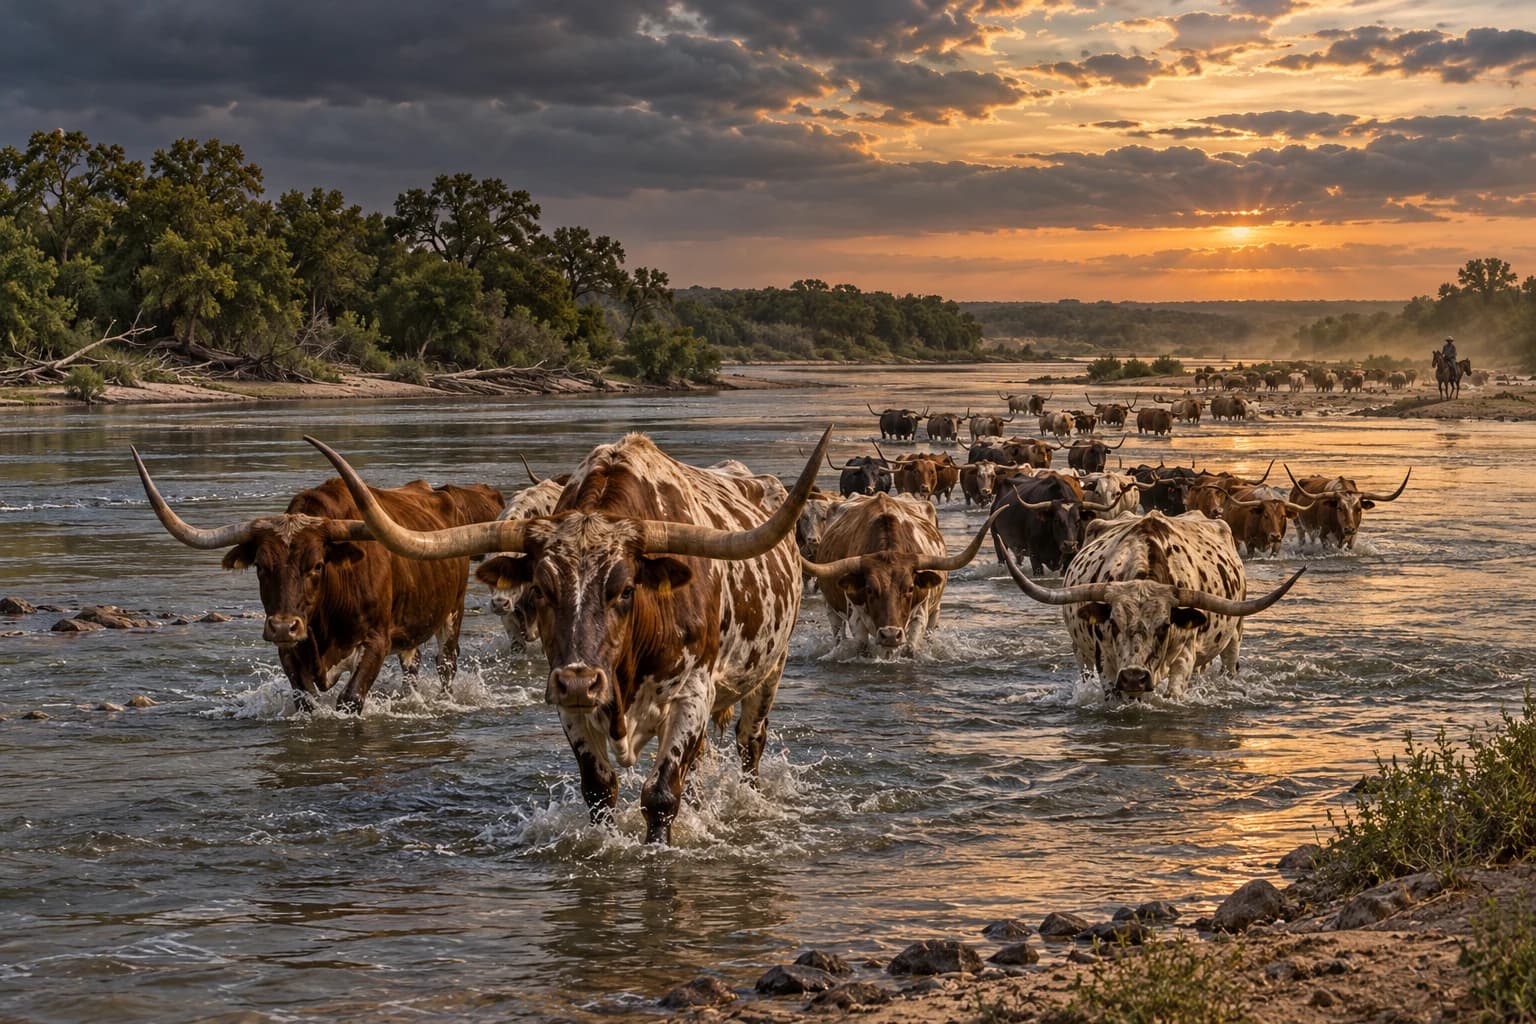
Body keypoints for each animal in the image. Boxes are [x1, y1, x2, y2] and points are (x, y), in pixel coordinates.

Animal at [132, 449, 504, 713]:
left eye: (317, 565)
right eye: (261, 566)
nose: (284, 626)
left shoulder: (377, 640)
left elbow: (350, 699)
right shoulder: (289, 652)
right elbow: (306, 700)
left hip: (452, 613)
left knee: (446, 664)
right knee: (411, 667)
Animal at [306, 430, 831, 844]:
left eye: (625, 589)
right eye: (541, 588)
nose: (581, 681)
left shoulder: (691, 694)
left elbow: (662, 794)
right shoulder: (569, 706)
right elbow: (599, 790)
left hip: (770, 671)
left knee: (749, 744)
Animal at [801, 493, 998, 656]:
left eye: (910, 588)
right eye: (869, 589)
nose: (890, 634)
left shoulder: (920, 612)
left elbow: (909, 648)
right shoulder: (854, 615)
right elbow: (862, 647)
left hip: (935, 610)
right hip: (830, 608)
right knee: (838, 634)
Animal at [1003, 511, 1305, 699]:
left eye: (1164, 626)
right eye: (1113, 623)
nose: (1134, 677)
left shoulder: (1185, 653)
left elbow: (1174, 691)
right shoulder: (1106, 660)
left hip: (1235, 634)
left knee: (1229, 664)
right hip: (1081, 652)